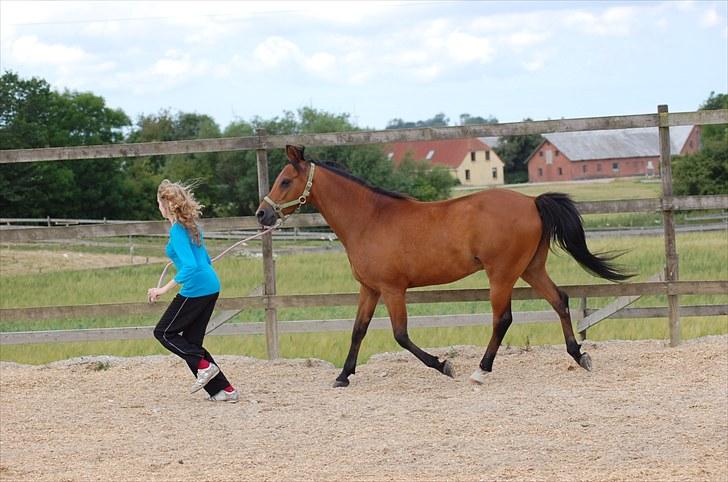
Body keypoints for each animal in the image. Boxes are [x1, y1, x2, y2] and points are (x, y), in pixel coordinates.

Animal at [258, 144, 632, 388]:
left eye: (286, 181)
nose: (262, 214)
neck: (369, 219)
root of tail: (531, 201)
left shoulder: (393, 289)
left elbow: (400, 335)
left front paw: (443, 365)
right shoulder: (370, 288)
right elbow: (358, 330)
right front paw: (343, 376)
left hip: (502, 274)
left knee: (503, 319)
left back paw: (480, 371)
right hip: (531, 268)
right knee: (560, 300)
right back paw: (579, 356)